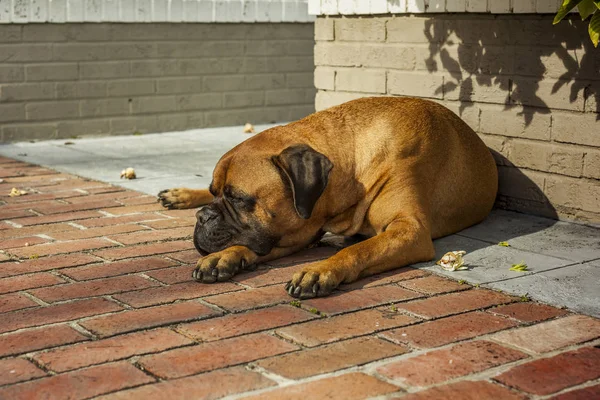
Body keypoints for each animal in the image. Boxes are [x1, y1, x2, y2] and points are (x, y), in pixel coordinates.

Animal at [156, 96, 496, 296]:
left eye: (238, 198)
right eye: (217, 193)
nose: (203, 217)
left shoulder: (409, 230)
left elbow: (358, 250)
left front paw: (319, 270)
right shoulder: (299, 230)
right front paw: (225, 256)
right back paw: (180, 195)